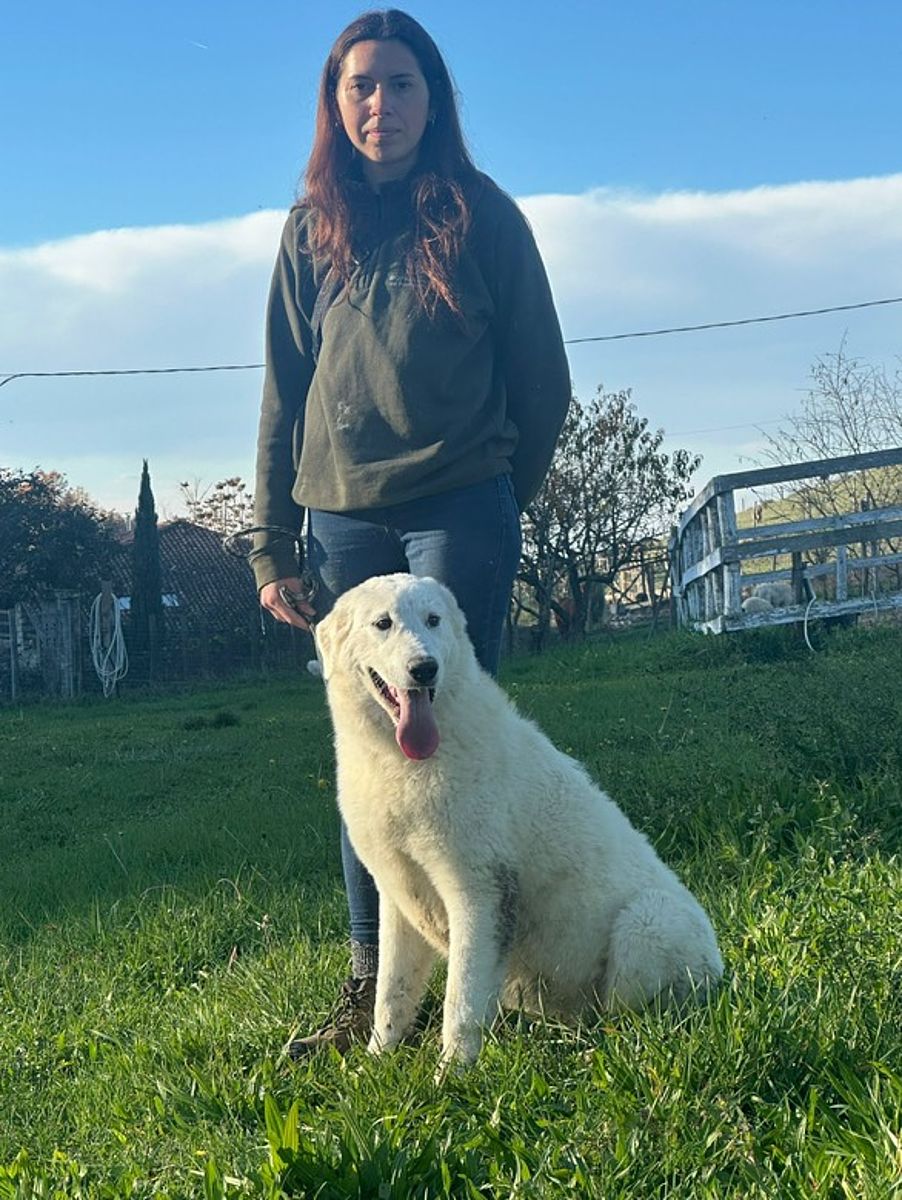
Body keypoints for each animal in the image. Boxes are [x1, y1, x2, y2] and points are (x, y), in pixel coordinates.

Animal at [315, 574, 723, 1069]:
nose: (425, 669)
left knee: (629, 1016)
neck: (401, 762)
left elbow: (461, 999)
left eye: (433, 620)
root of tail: (722, 971)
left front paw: (453, 1072)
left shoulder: (479, 892)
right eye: (382, 624)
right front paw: (376, 1062)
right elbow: (392, 994)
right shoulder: (398, 898)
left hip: (649, 922)